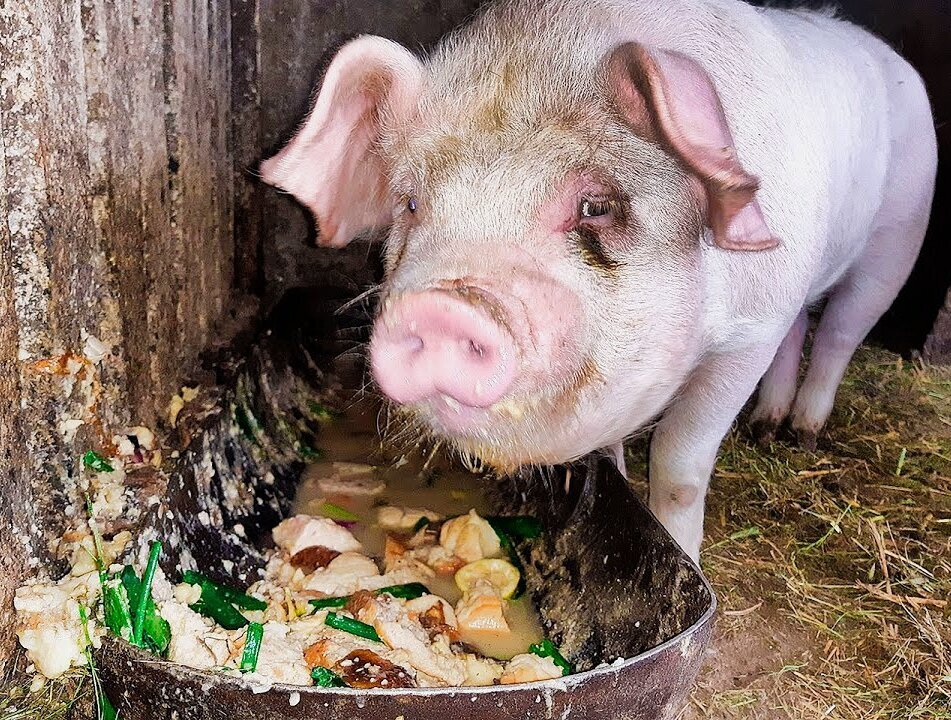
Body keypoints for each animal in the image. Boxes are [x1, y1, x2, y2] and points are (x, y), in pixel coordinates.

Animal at [260, 0, 936, 560]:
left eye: (596, 207)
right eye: (410, 203)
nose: (443, 306)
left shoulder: (752, 331)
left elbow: (681, 462)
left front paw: (684, 553)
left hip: (898, 239)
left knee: (842, 330)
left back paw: (800, 433)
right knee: (805, 326)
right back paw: (768, 426)